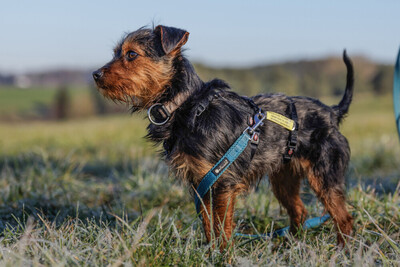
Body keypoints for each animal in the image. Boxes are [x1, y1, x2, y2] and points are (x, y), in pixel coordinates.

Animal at [93, 25, 354, 249]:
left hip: (324, 177)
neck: (186, 105)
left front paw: (222, 255)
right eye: (116, 53)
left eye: (131, 54)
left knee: (344, 218)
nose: (95, 74)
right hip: (284, 179)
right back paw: (292, 245)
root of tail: (332, 112)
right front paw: (210, 253)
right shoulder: (201, 184)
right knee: (299, 211)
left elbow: (222, 229)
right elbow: (209, 227)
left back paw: (343, 251)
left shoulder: (222, 182)